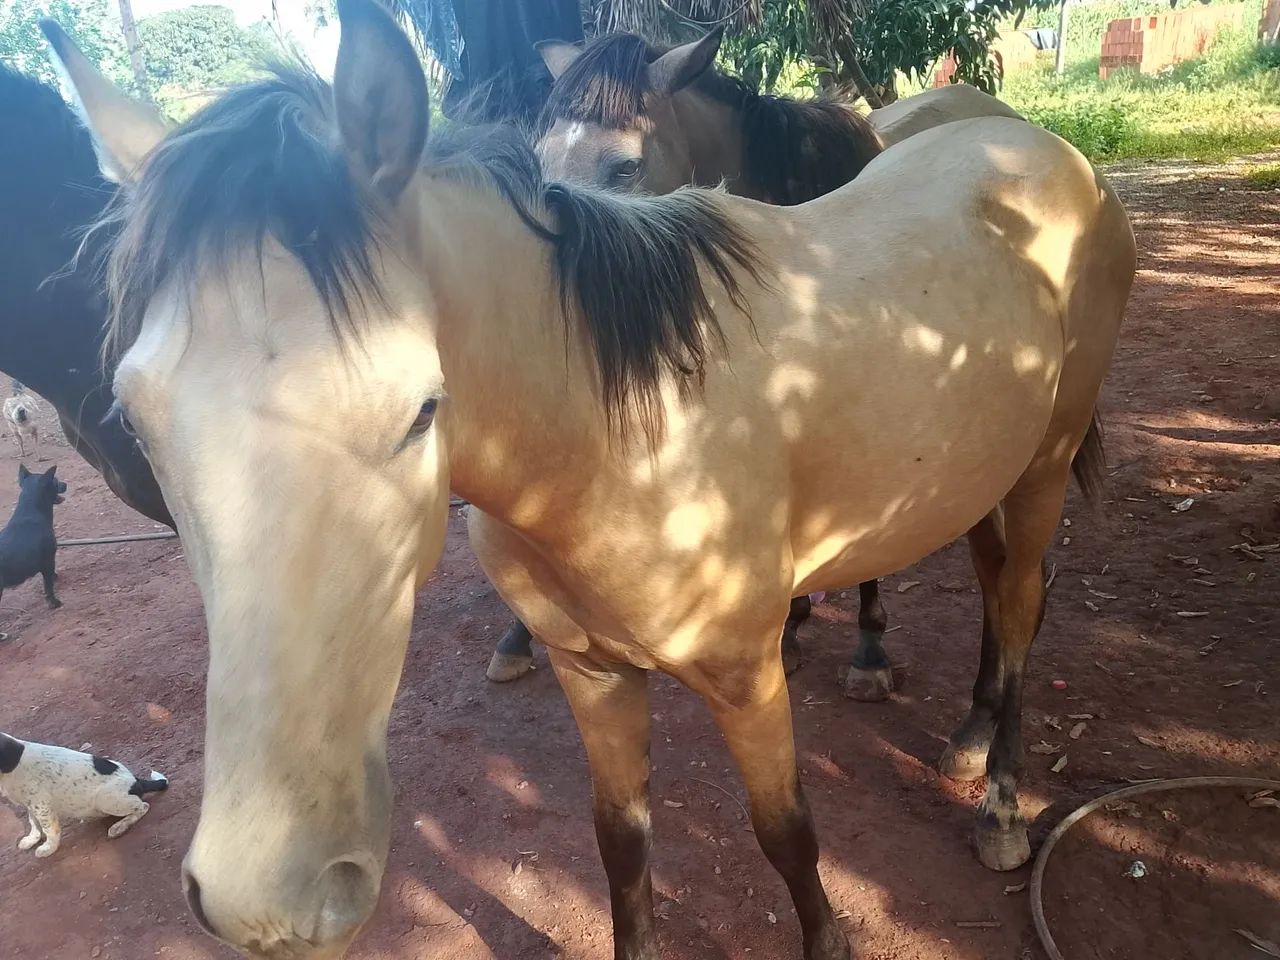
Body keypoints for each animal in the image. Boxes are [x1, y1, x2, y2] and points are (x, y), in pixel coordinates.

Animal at [47, 1, 1135, 956]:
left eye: (422, 408)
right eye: (135, 416)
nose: (271, 898)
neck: (622, 434)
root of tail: (1045, 153)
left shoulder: (747, 677)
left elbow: (786, 835)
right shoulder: (591, 672)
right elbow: (620, 843)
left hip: (1043, 466)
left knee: (1021, 604)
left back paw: (999, 804)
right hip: (978, 474)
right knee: (995, 582)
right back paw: (966, 735)